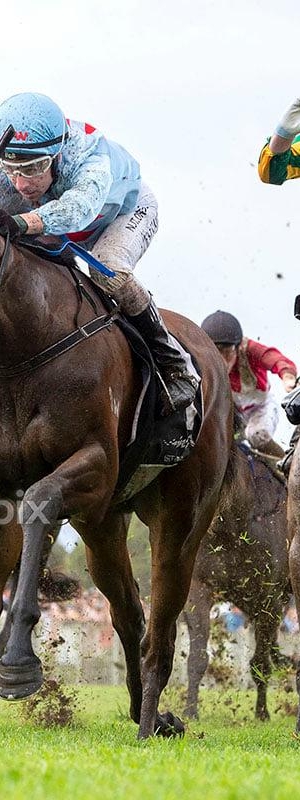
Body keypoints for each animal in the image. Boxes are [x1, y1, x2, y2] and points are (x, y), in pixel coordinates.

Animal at [0, 234, 233, 740]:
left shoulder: (97, 464)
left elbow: (40, 500)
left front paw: (18, 664)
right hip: (102, 526)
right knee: (129, 610)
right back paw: (153, 715)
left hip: (181, 520)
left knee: (162, 628)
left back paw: (149, 722)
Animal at [183, 446, 290, 720]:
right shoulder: (199, 588)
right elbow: (197, 657)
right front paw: (190, 711)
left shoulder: (269, 600)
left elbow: (261, 663)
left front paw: (262, 713)